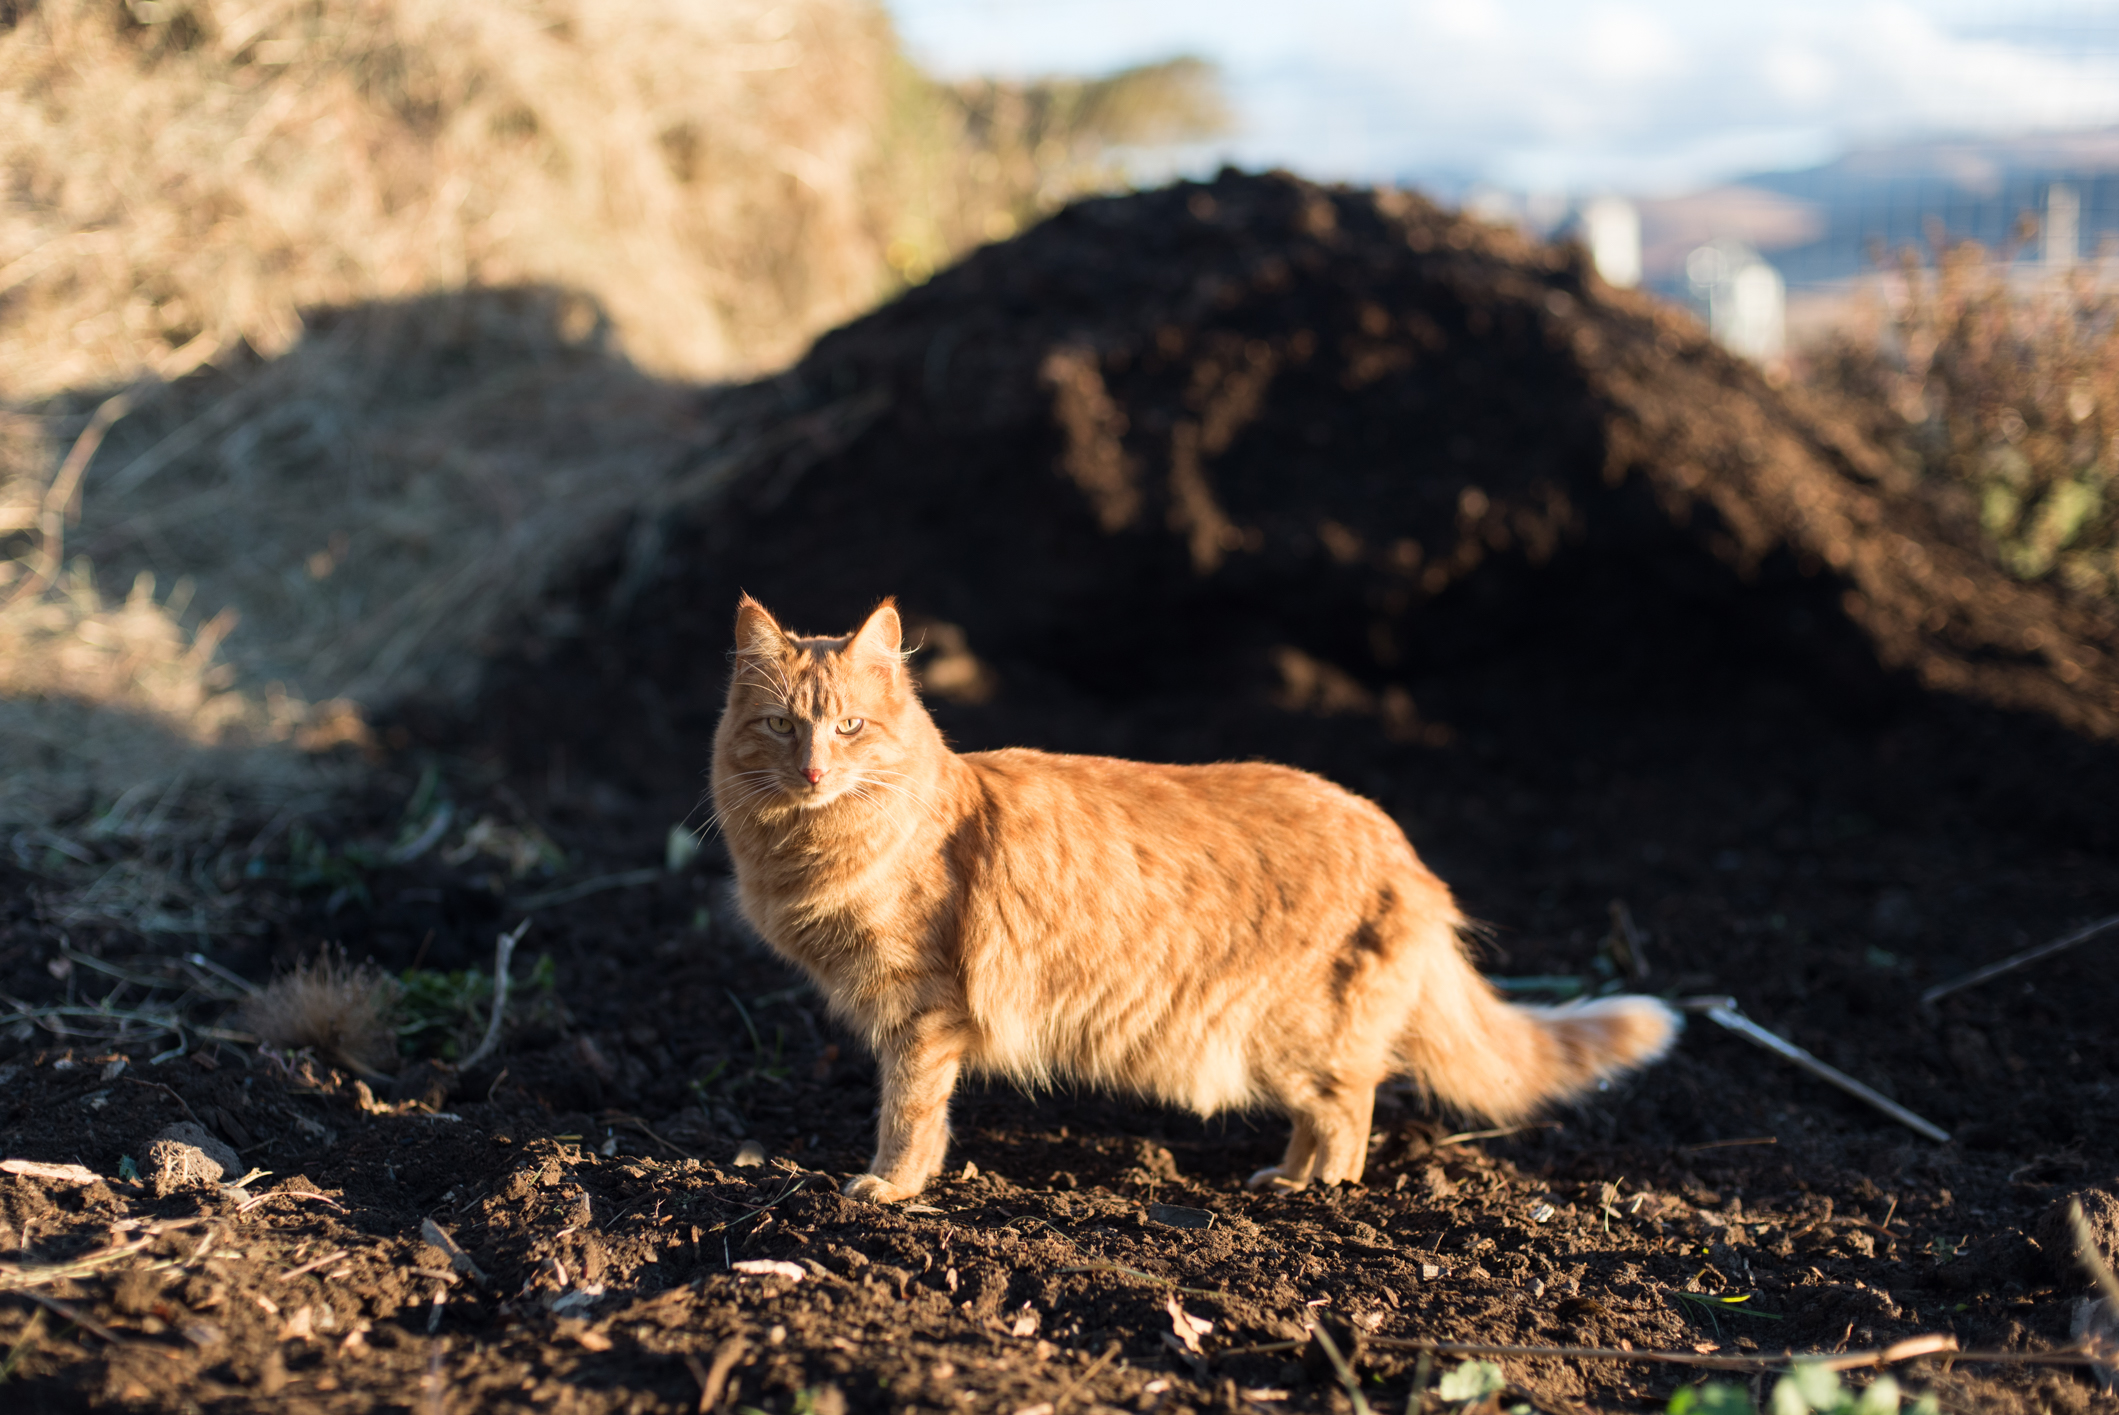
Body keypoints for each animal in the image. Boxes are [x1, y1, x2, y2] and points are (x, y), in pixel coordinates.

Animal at [720, 597, 1678, 1203]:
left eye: (849, 727)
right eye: (782, 726)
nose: (813, 770)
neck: (814, 843)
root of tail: (1397, 842)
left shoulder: (920, 1013)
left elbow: (910, 1114)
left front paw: (890, 1186)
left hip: (1292, 1035)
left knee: (1350, 1108)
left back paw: (1315, 1191)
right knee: (1332, 1108)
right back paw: (1290, 1176)